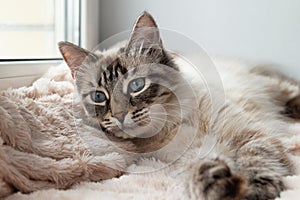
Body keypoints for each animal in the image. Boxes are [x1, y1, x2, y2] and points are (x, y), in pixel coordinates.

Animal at [58, 11, 300, 200]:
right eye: (99, 97)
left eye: (136, 85)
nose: (119, 115)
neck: (172, 124)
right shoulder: (186, 155)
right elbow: (196, 168)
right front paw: (216, 182)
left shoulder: (251, 135)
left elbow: (256, 161)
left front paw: (254, 190)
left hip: (277, 89)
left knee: (291, 94)